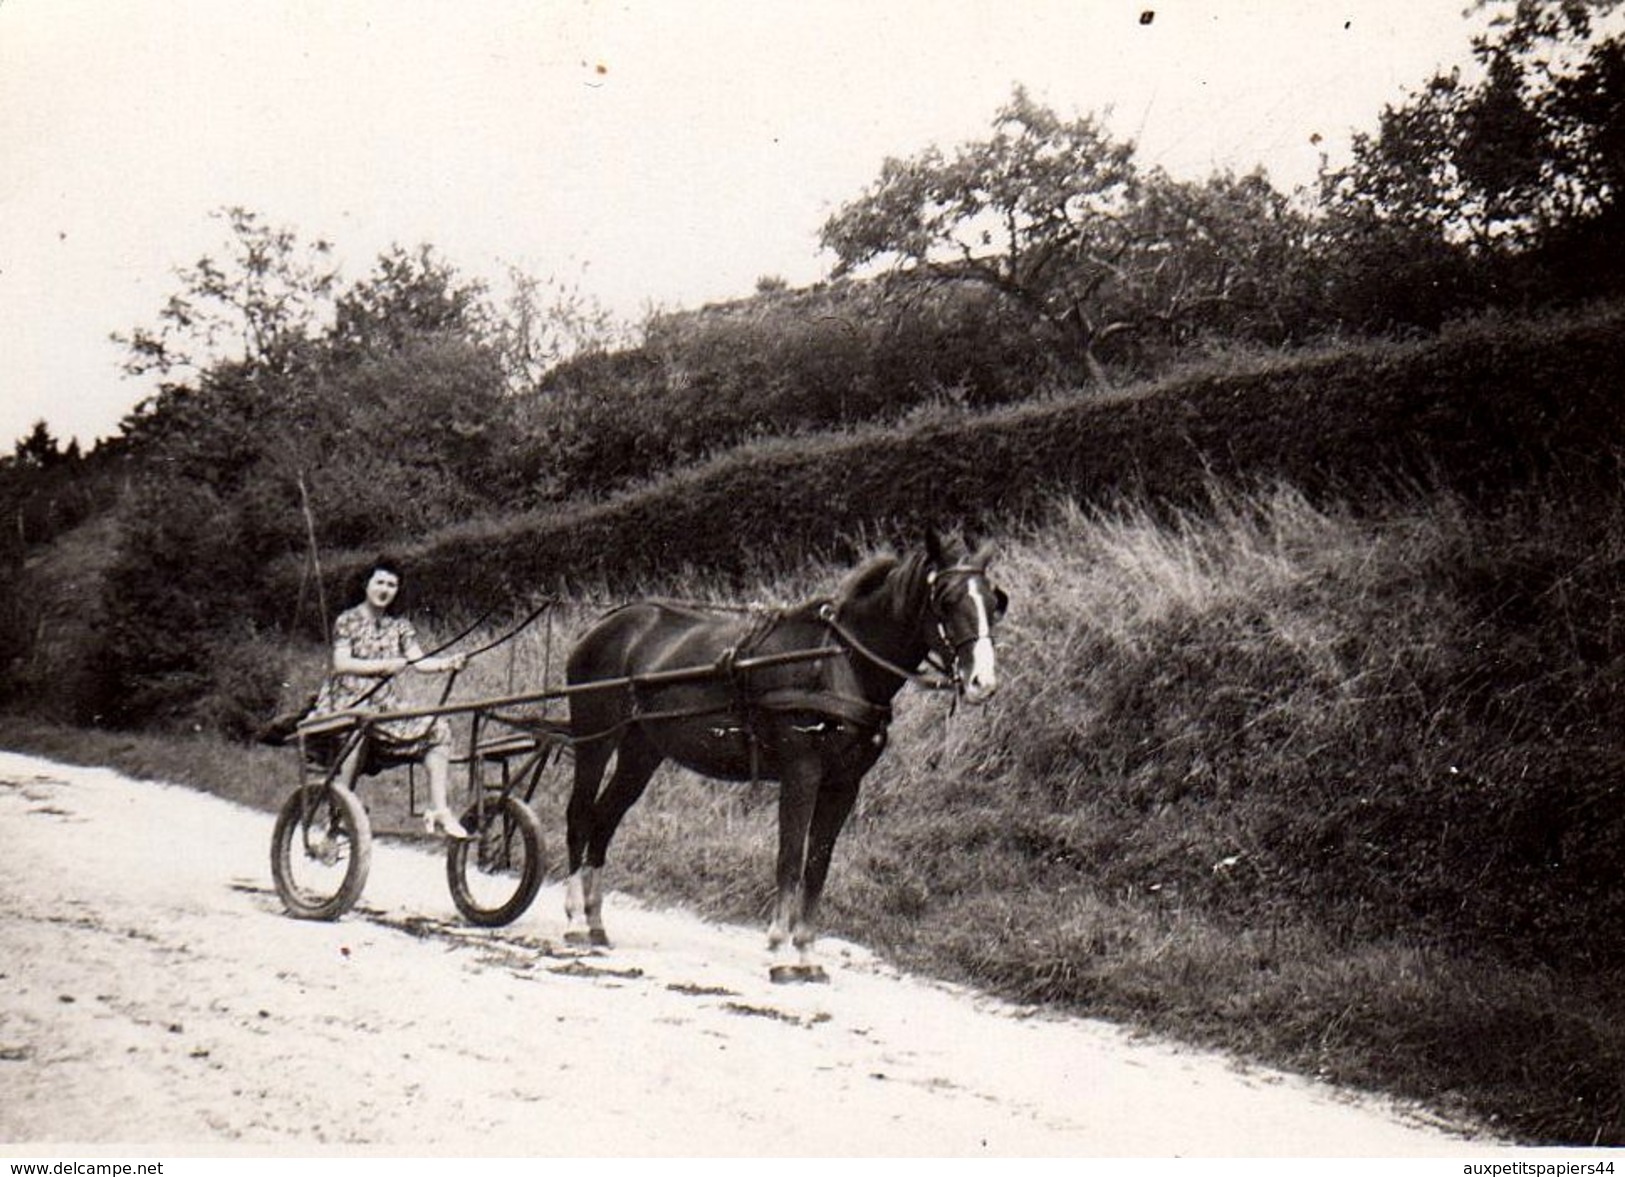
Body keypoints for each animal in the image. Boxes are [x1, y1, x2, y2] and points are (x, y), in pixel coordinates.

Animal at [565, 529, 1007, 981]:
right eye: (946, 601)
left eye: (994, 603)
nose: (982, 682)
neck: (839, 663)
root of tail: (605, 624)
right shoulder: (801, 773)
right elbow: (791, 858)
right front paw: (778, 950)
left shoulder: (843, 785)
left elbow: (818, 863)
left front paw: (806, 952)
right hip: (594, 737)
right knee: (579, 814)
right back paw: (573, 917)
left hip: (642, 750)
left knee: (604, 818)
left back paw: (595, 922)